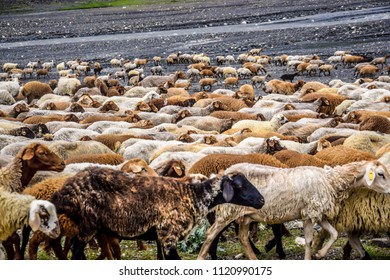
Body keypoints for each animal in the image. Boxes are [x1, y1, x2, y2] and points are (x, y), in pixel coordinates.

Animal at [51, 165, 264, 260]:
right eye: (240, 186)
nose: (262, 200)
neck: (192, 197)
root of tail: (64, 191)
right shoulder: (169, 236)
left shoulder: (160, 237)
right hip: (88, 225)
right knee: (77, 250)